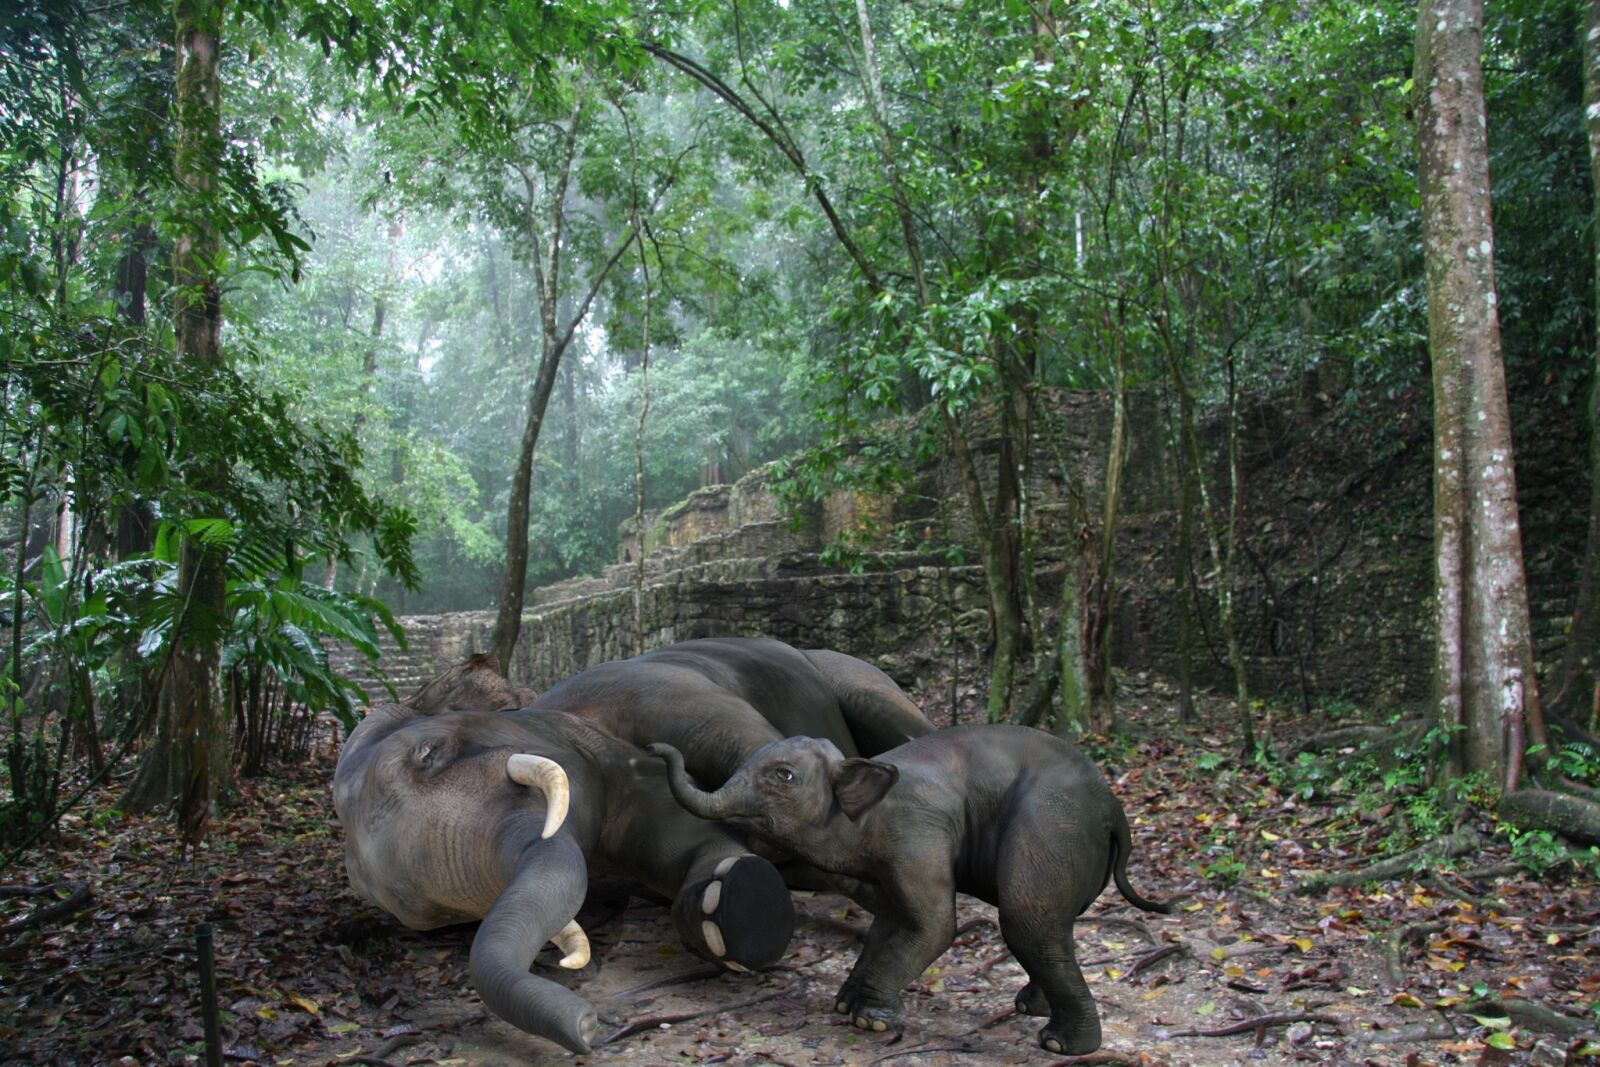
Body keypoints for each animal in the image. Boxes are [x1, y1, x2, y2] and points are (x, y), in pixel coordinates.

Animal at [333, 637, 931, 1055]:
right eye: (425, 915)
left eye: (430, 752)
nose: (587, 1024)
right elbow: (680, 842)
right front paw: (732, 903)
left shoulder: (659, 694)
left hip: (855, 675)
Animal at [649, 723, 1170, 1056]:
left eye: (783, 776)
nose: (656, 748)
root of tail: (1115, 810)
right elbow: (891, 918)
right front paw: (846, 1003)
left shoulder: (917, 835)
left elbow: (935, 923)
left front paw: (869, 1020)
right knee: (1049, 927)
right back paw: (1031, 1009)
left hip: (1049, 832)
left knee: (1026, 921)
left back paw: (1062, 1045)